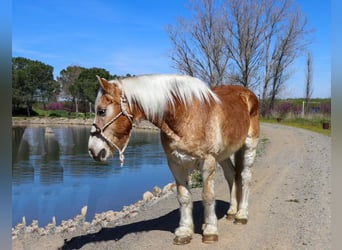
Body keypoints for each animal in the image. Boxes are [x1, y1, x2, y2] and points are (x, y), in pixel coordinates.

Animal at [87, 73, 260, 244]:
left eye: (101, 111)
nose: (93, 151)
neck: (187, 115)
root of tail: (248, 94)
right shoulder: (176, 164)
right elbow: (184, 197)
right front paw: (184, 232)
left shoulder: (208, 161)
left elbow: (208, 196)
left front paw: (210, 231)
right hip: (223, 155)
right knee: (231, 175)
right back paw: (231, 211)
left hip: (249, 146)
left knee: (245, 177)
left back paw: (241, 214)